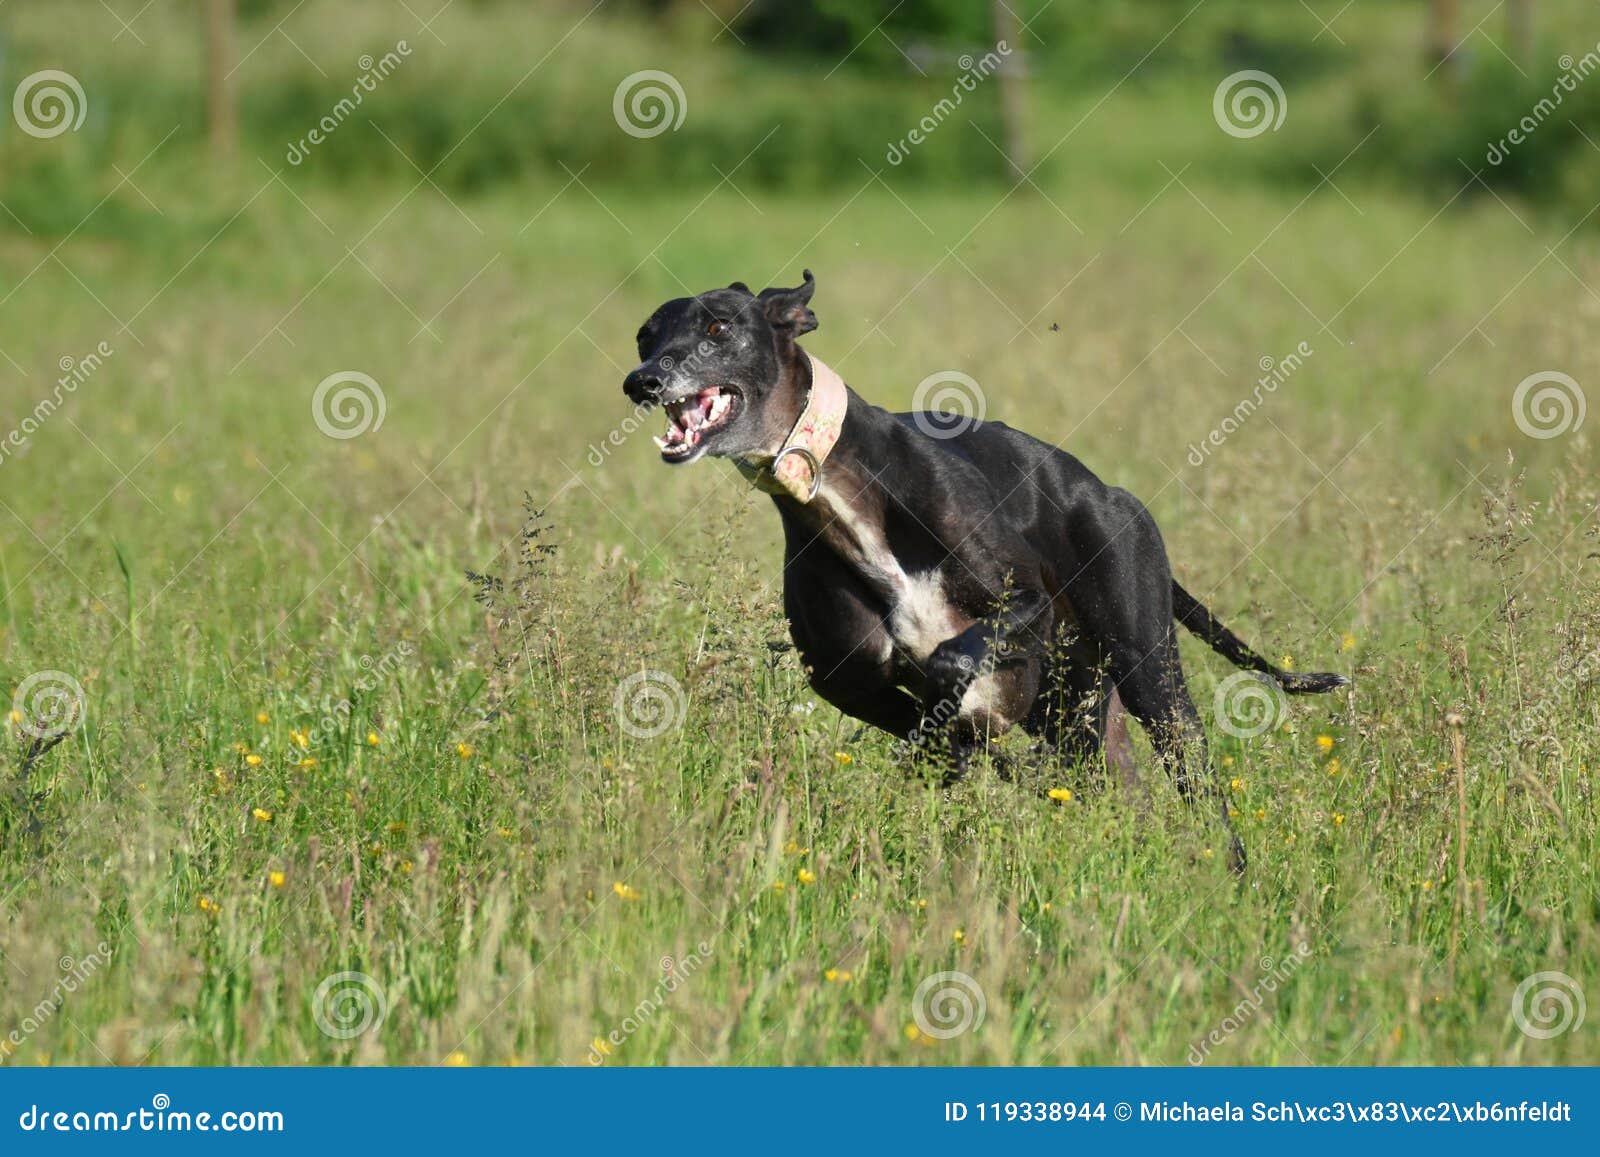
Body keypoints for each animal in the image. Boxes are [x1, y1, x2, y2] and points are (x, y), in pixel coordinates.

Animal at [617, 273, 1344, 870]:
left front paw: (956, 717)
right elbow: (926, 726)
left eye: (718, 326)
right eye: (645, 335)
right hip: (1077, 709)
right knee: (1112, 789)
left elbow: (949, 660)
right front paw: (954, 750)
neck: (840, 487)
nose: (642, 381)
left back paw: (1233, 873)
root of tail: (1108, 493)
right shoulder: (848, 683)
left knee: (1196, 774)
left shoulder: (1020, 604)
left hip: (1145, 666)